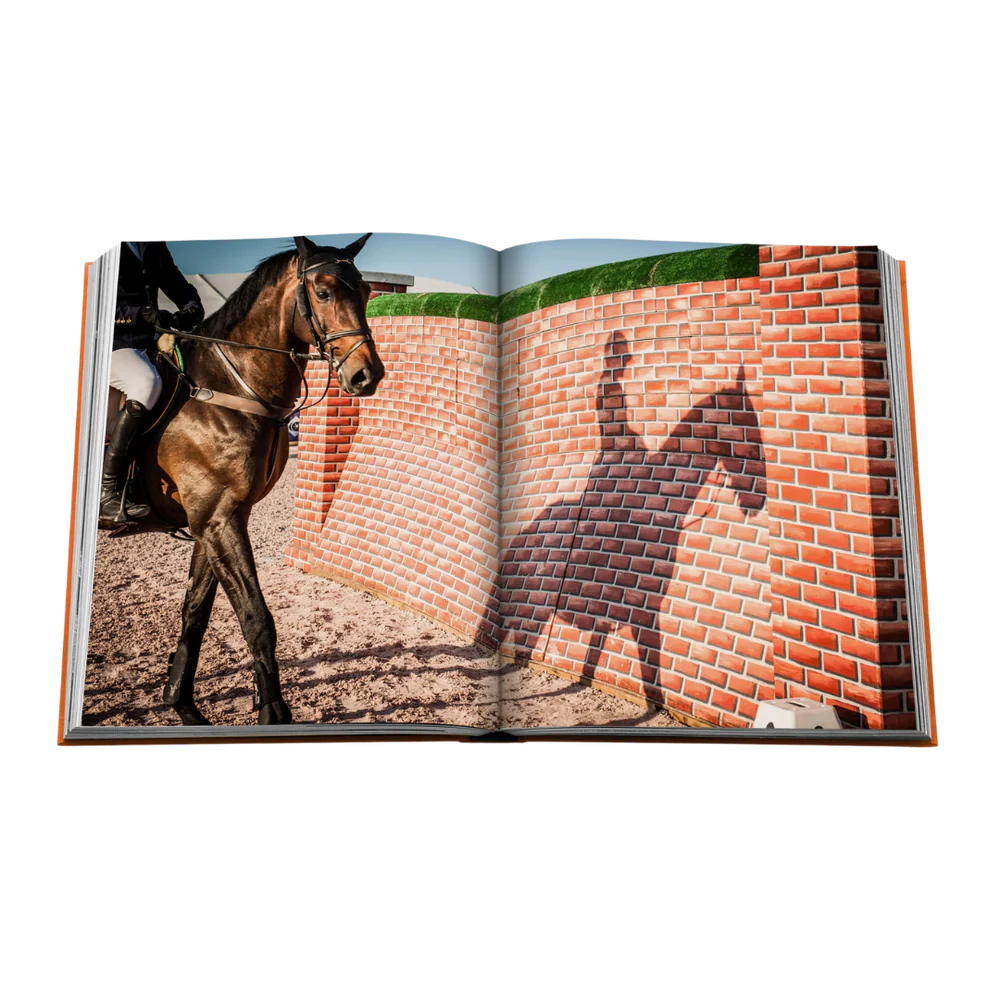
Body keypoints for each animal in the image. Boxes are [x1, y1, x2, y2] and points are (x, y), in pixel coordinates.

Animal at [109, 232, 385, 726]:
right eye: (323, 292)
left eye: (368, 290)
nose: (366, 375)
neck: (229, 387)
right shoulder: (220, 520)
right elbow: (257, 618)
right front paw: (272, 712)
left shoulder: (214, 520)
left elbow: (195, 612)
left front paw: (181, 703)